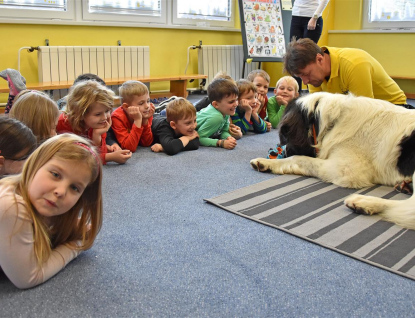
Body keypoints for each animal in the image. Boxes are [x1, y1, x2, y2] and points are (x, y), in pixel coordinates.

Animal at [252, 91, 415, 229]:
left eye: (286, 136)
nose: (284, 152)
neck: (333, 122)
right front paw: (267, 162)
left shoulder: (345, 169)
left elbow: (299, 159)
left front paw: (270, 162)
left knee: (407, 209)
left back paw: (363, 202)